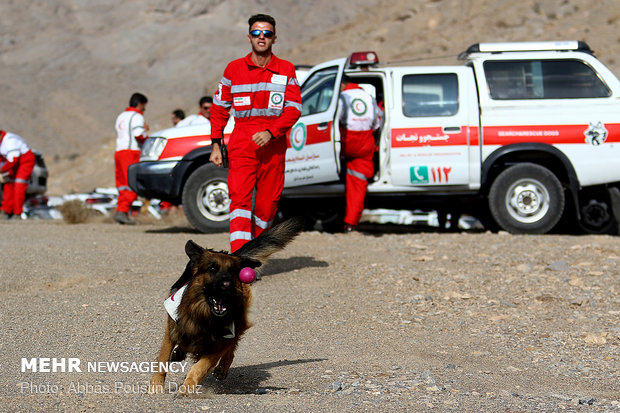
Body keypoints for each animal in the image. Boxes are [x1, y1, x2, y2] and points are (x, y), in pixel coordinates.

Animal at [151, 217, 306, 394]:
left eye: (234, 271)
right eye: (212, 268)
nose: (227, 284)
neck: (205, 315)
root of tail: (229, 253)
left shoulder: (218, 344)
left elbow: (199, 367)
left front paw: (188, 387)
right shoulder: (172, 330)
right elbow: (163, 359)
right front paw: (156, 385)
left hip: (238, 325)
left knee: (231, 347)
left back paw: (222, 367)